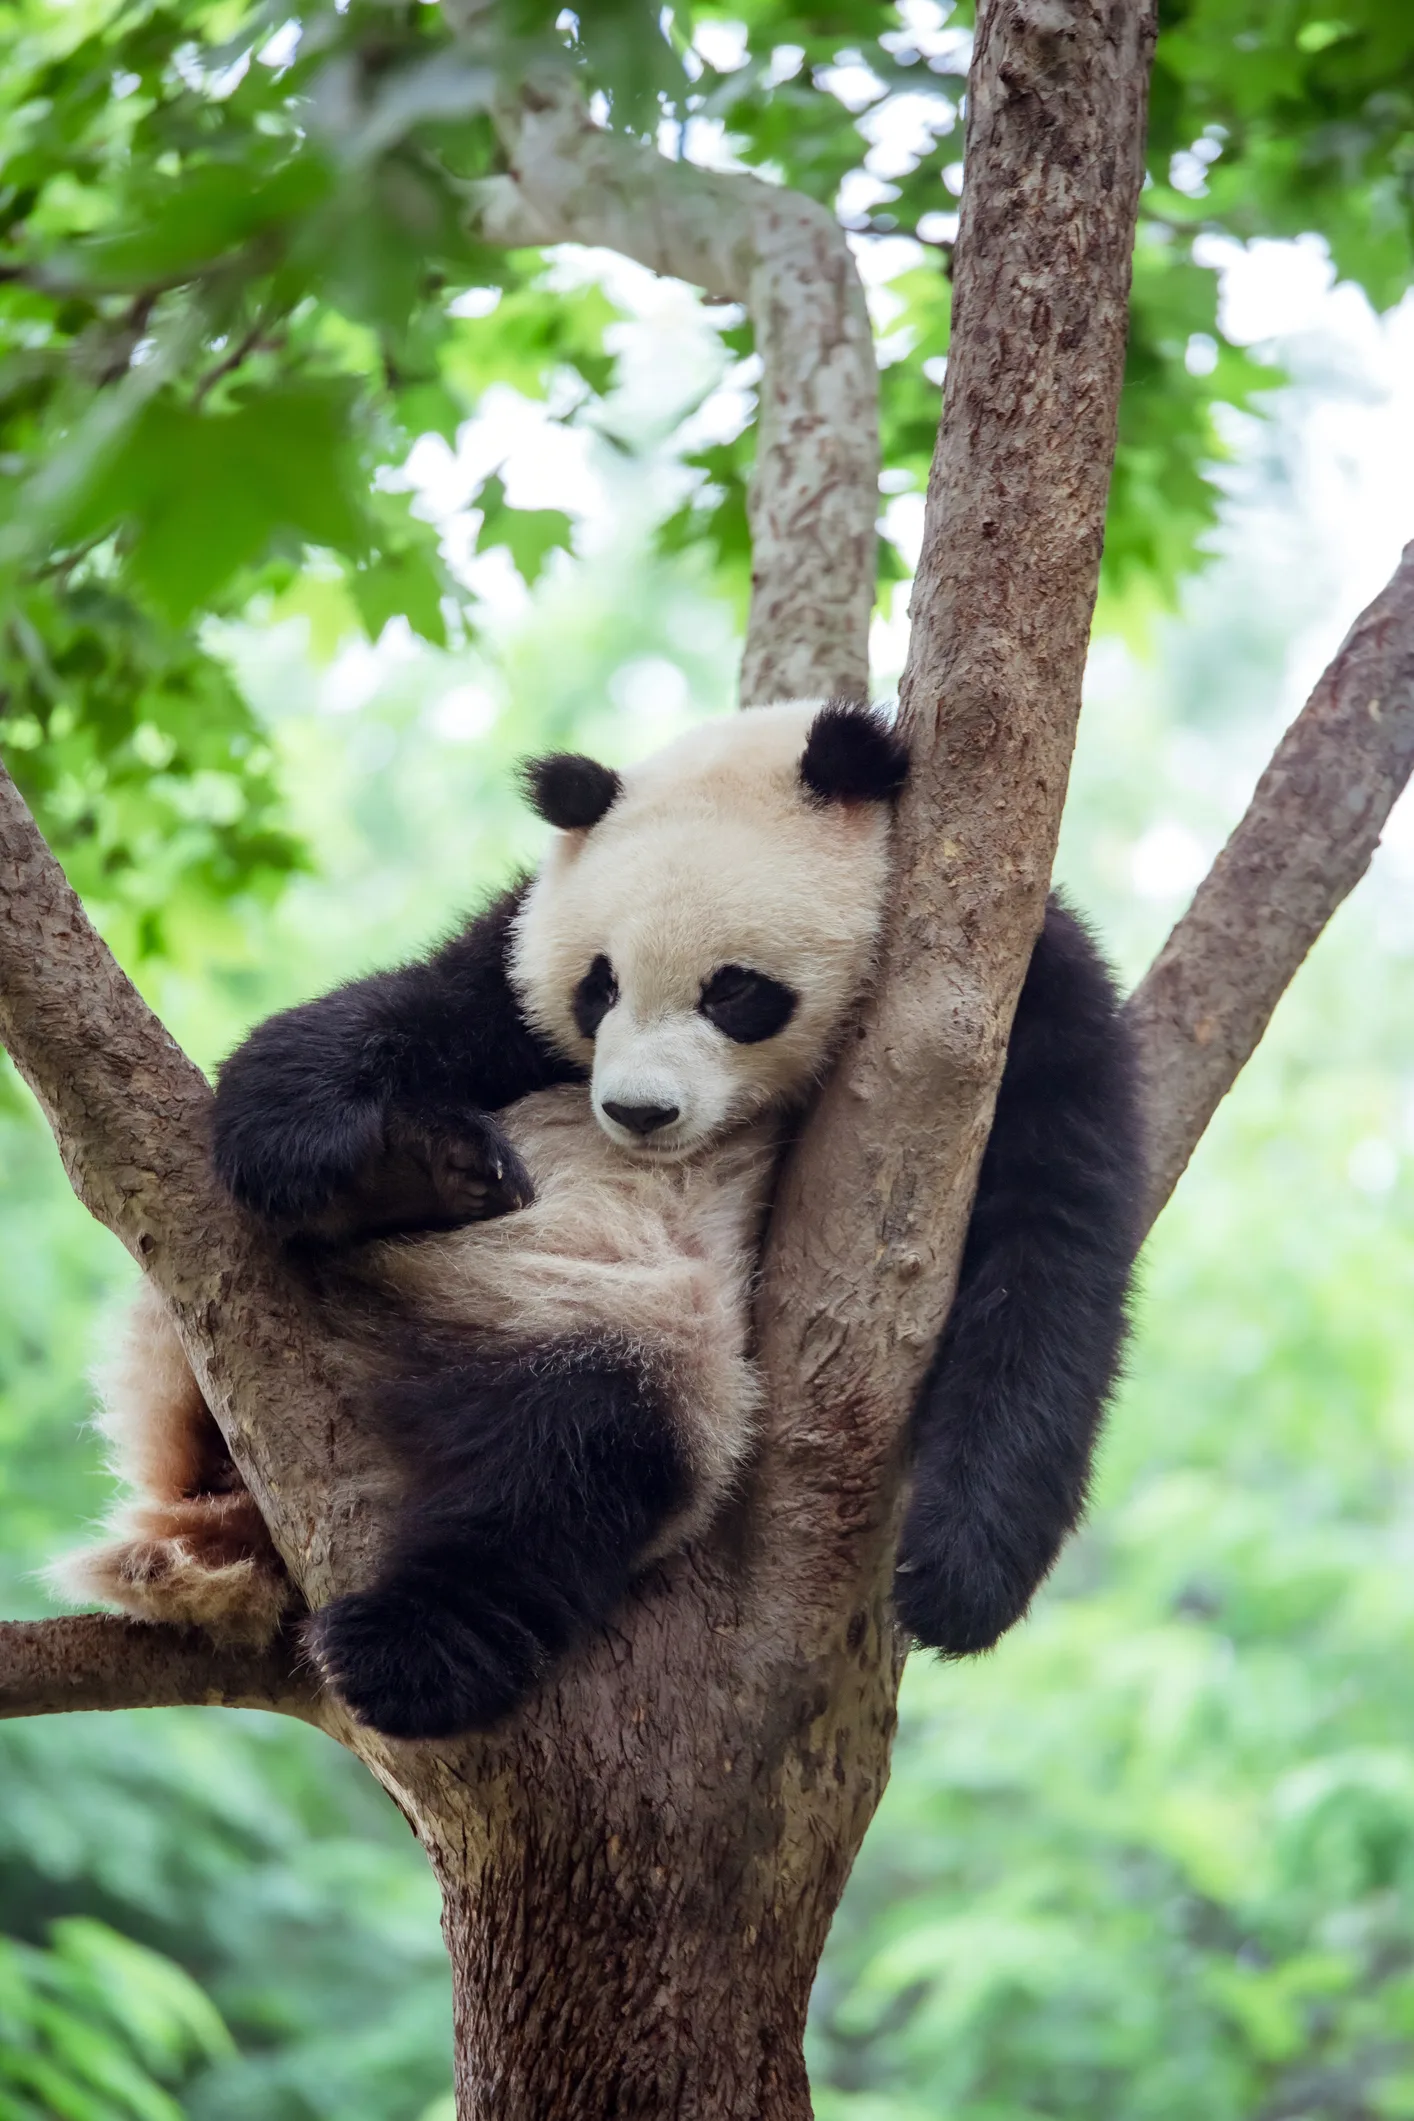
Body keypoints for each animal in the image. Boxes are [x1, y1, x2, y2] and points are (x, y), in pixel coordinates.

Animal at [52, 700, 1143, 1740]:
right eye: (600, 984)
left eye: (734, 991)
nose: (636, 1112)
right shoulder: (510, 965)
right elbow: (383, 1018)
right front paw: (342, 1151)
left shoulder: (1011, 997)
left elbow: (1051, 1249)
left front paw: (955, 1575)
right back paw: (408, 1178)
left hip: (609, 1323)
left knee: (580, 1456)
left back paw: (409, 1646)